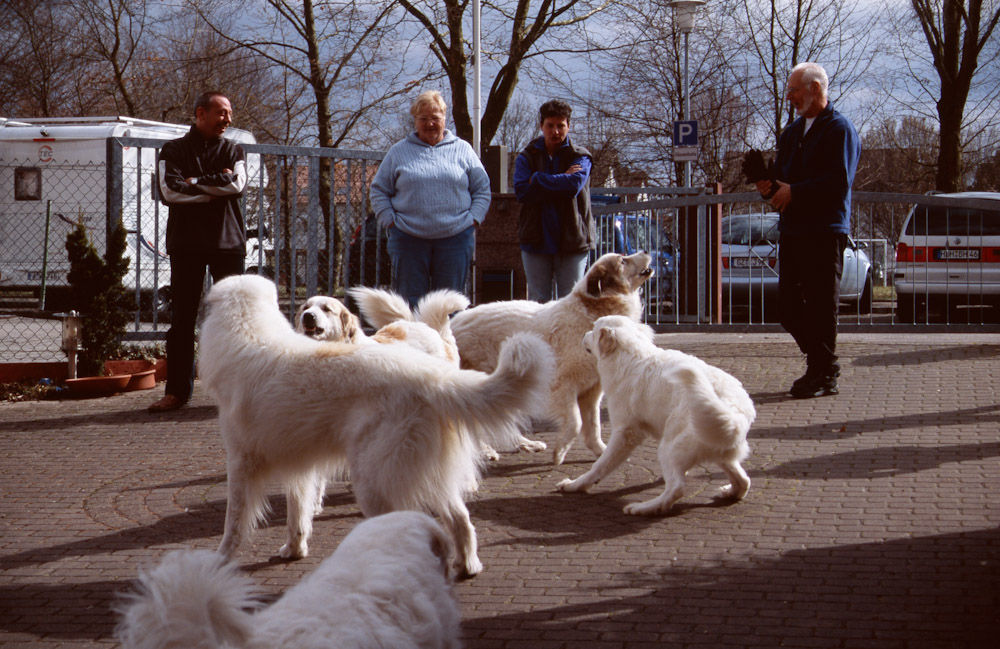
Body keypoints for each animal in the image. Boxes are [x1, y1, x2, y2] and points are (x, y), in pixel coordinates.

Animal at [198, 274, 552, 576]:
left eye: (324, 309)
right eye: (305, 308)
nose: (308, 317)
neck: (249, 331)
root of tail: (434, 379)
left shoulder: (241, 463)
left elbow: (234, 523)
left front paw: (220, 560)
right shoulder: (301, 469)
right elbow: (297, 515)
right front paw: (294, 550)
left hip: (373, 483)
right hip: (423, 476)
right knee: (461, 520)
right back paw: (467, 566)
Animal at [454, 251, 656, 464]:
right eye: (623, 260)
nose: (646, 251)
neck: (593, 310)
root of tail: (452, 325)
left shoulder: (591, 392)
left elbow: (593, 426)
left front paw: (601, 452)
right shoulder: (563, 386)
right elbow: (576, 423)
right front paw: (560, 452)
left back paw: (527, 444)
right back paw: (486, 451)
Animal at [560, 316, 752, 516]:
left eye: (594, 329)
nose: (584, 334)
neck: (629, 356)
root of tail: (734, 409)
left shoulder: (625, 433)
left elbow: (600, 464)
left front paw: (575, 485)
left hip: (668, 447)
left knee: (676, 488)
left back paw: (644, 508)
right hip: (717, 447)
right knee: (743, 481)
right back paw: (730, 492)